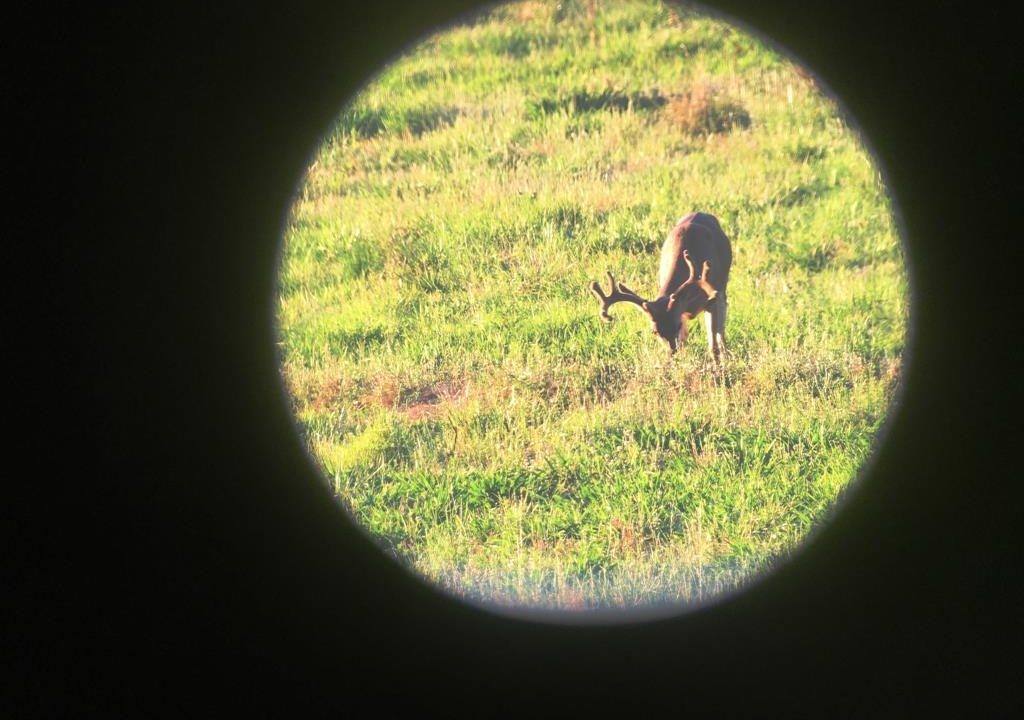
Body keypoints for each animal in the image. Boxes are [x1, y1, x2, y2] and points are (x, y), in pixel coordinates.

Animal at [589, 210, 733, 362]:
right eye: (655, 331)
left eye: (677, 325)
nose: (671, 352)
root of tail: (701, 212)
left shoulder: (712, 298)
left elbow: (714, 344)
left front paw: (719, 364)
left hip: (722, 286)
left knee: (721, 329)